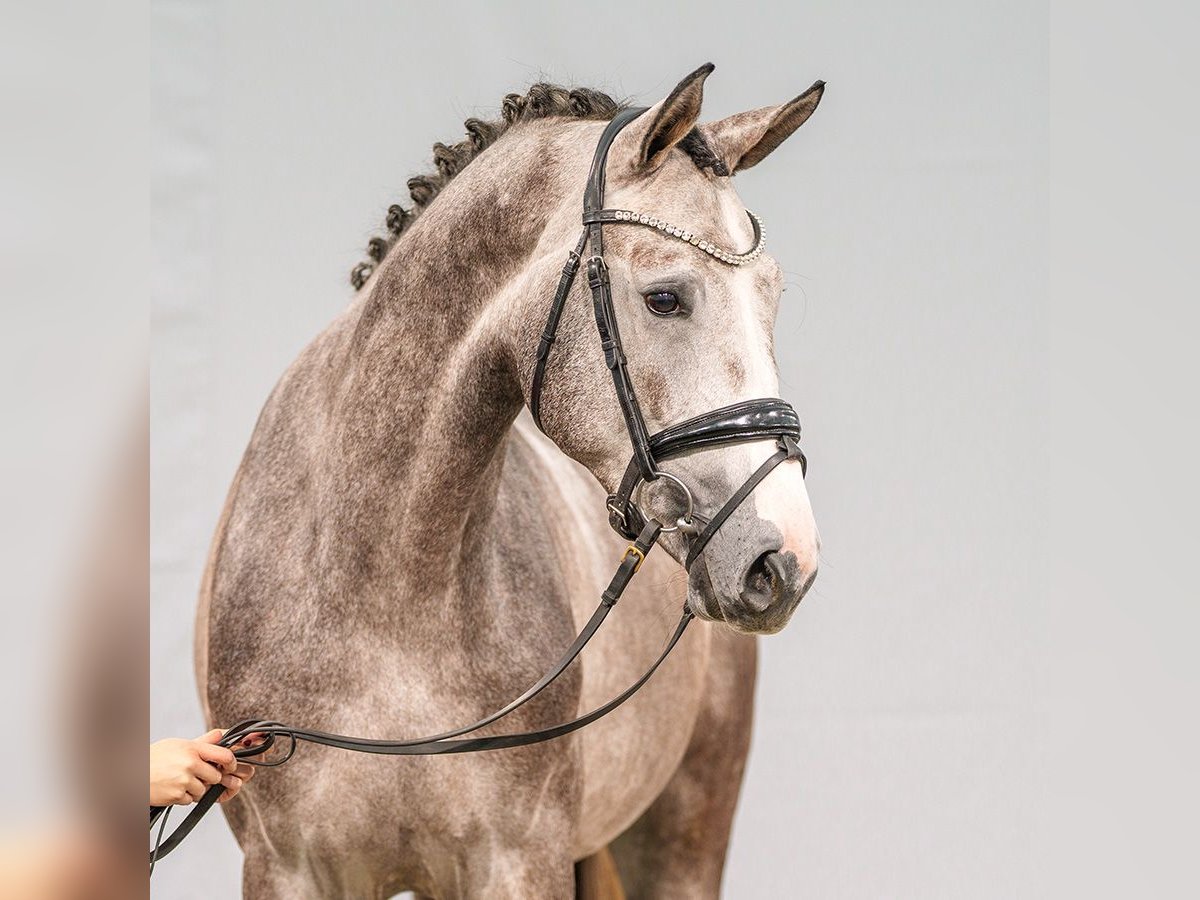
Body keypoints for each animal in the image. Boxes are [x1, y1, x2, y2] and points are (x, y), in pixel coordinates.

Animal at [199, 65, 825, 900]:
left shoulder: (518, 862)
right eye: (665, 297)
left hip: (683, 839)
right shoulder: (287, 869)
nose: (783, 559)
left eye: (773, 298)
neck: (381, 593)